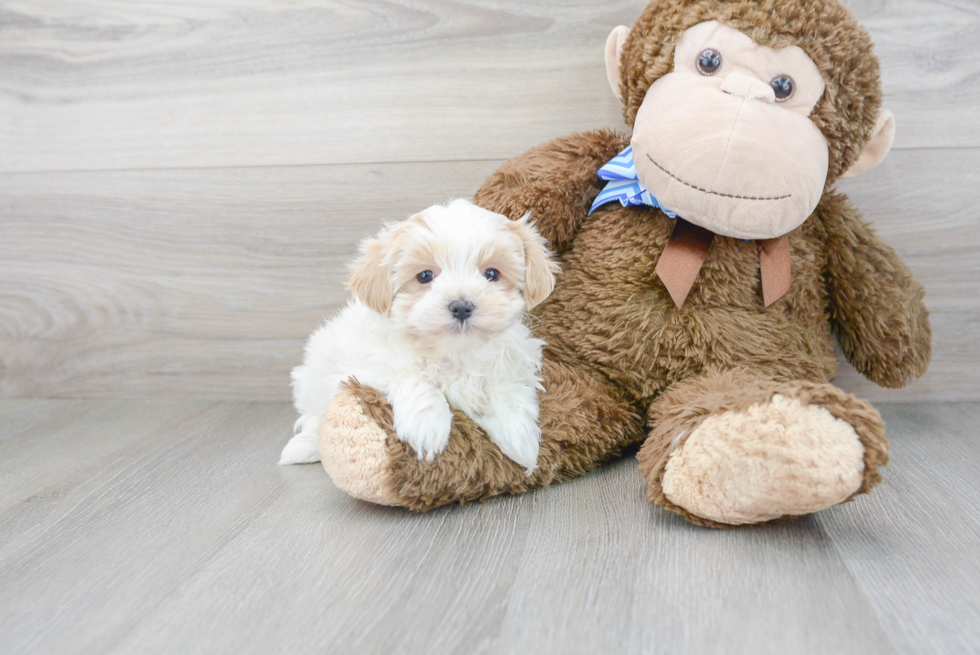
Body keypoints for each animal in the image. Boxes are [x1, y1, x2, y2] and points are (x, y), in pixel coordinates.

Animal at [280, 197, 564, 474]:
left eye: (492, 274)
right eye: (425, 276)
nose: (461, 306)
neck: (454, 353)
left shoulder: (512, 360)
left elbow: (508, 388)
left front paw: (520, 437)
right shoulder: (369, 366)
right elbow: (412, 375)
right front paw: (426, 426)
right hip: (312, 377)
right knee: (313, 416)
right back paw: (304, 446)